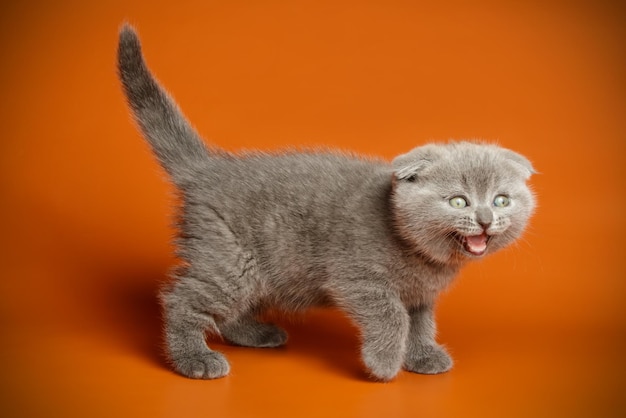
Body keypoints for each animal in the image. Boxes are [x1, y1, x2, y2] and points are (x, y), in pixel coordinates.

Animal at [116, 23, 532, 382]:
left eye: (501, 200)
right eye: (459, 202)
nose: (485, 218)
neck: (422, 258)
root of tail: (208, 168)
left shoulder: (420, 295)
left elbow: (420, 323)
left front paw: (423, 356)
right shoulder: (358, 279)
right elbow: (392, 316)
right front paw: (384, 363)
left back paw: (254, 334)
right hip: (230, 258)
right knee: (181, 298)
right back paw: (194, 359)